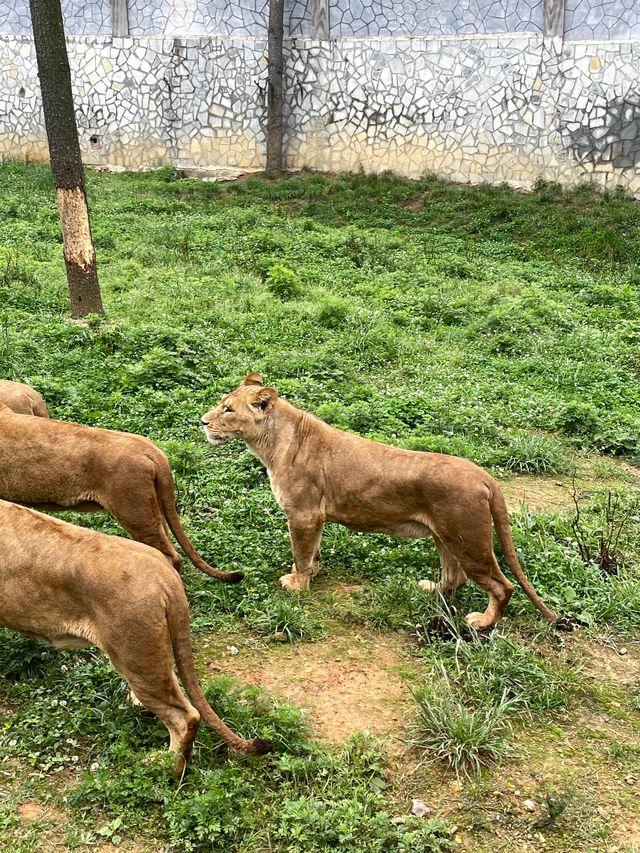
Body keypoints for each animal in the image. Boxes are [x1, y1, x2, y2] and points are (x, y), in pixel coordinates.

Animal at [201, 374, 564, 632]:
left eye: (228, 409)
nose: (203, 422)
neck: (272, 443)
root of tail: (483, 476)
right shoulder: (314, 519)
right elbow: (312, 552)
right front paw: (309, 575)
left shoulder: (303, 515)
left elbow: (301, 554)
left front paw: (297, 585)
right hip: (447, 538)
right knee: (455, 578)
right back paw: (431, 589)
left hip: (469, 541)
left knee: (503, 587)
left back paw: (482, 623)